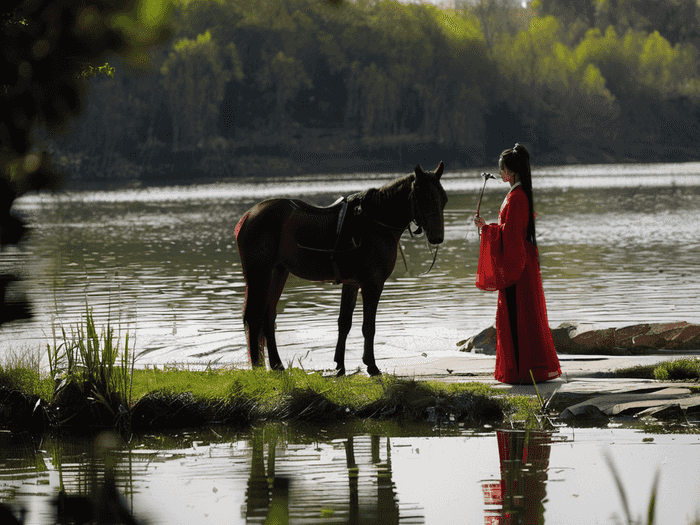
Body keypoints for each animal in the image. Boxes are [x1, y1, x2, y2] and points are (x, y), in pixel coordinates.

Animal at [232, 162, 446, 374]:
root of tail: (248, 216)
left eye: (443, 198)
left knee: (268, 316)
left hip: (278, 273)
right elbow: (368, 326)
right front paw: (371, 365)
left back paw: (277, 365)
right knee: (253, 317)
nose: (437, 237)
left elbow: (344, 323)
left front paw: (340, 366)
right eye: (424, 197)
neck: (373, 224)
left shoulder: (352, 283)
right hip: (259, 274)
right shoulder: (372, 284)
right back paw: (258, 368)